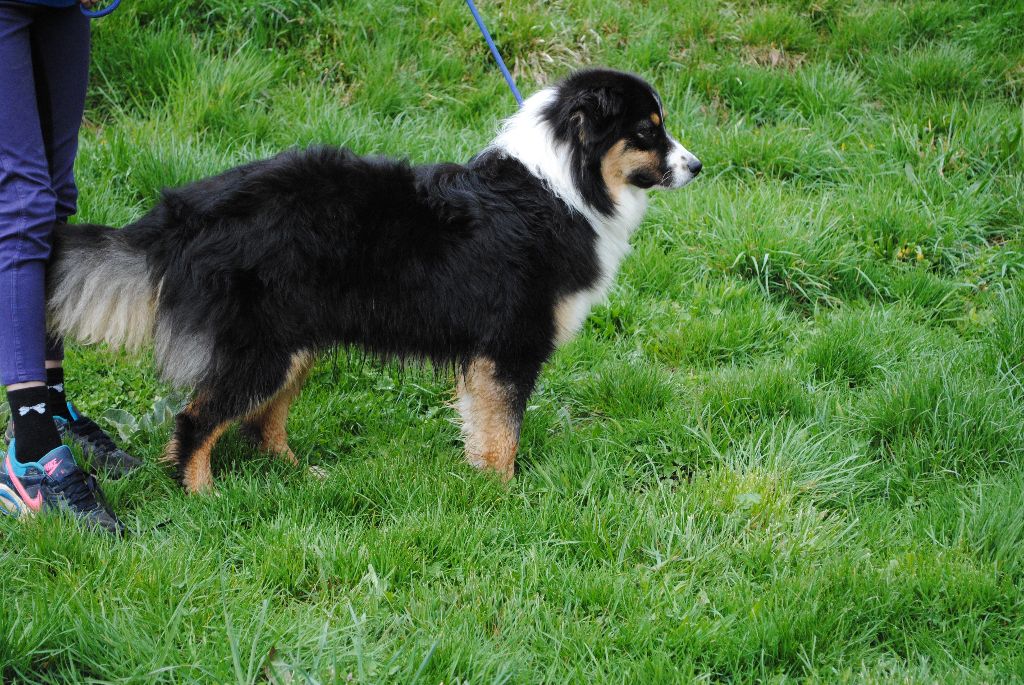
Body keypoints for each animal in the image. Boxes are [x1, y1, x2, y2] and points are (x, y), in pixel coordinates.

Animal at [49, 66, 704, 489]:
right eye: (647, 130)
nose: (697, 166)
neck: (562, 186)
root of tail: (185, 211)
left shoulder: (486, 354)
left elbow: (482, 424)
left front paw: (482, 484)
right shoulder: (510, 345)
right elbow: (504, 431)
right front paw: (504, 494)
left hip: (296, 340)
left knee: (260, 422)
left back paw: (297, 475)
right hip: (264, 347)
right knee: (198, 418)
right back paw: (203, 494)